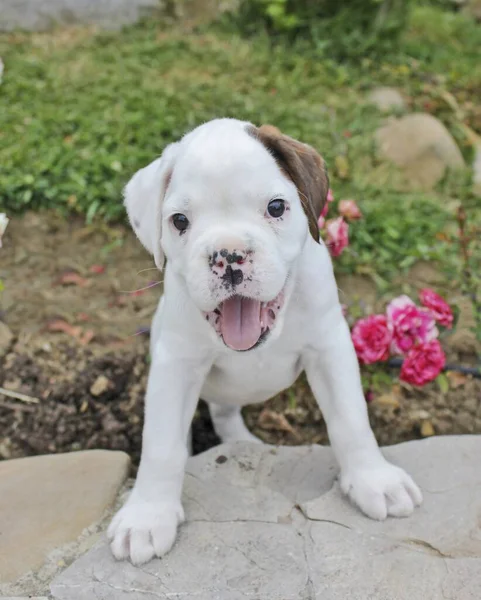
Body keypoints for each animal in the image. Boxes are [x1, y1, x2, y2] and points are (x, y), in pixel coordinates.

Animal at [108, 118, 420, 568]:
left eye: (275, 208)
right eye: (179, 220)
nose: (228, 255)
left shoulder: (330, 347)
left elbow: (350, 418)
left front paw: (373, 479)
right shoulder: (176, 365)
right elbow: (162, 443)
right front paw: (147, 516)